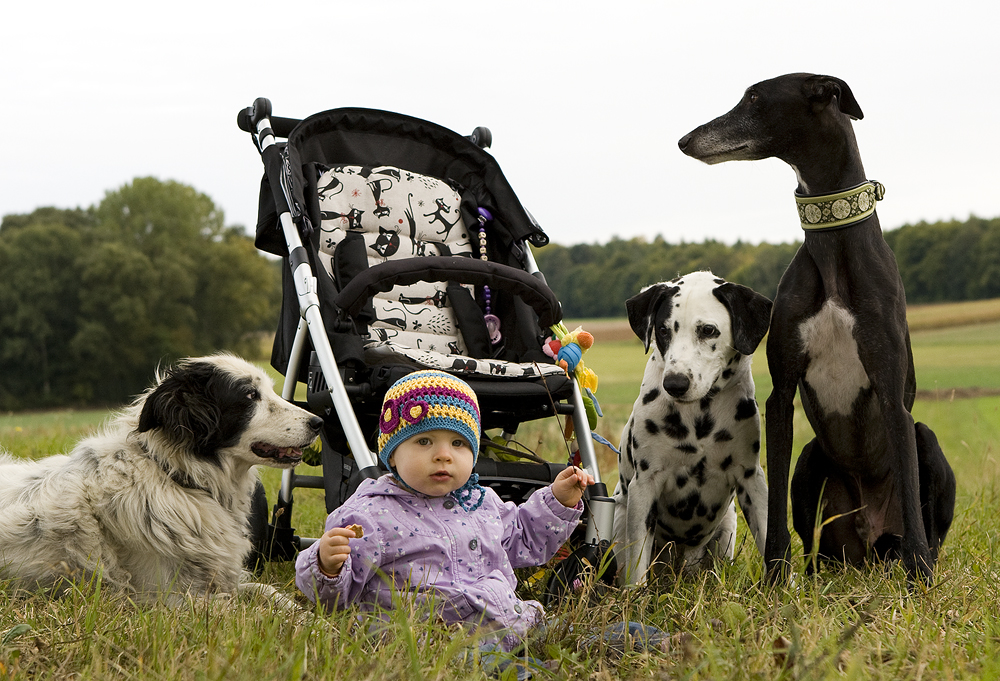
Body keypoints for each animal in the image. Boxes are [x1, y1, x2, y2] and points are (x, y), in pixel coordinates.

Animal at [616, 270, 772, 584]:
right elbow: (637, 567)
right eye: (663, 331)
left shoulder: (752, 479)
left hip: (727, 525)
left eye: (708, 330)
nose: (675, 383)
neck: (700, 417)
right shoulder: (643, 488)